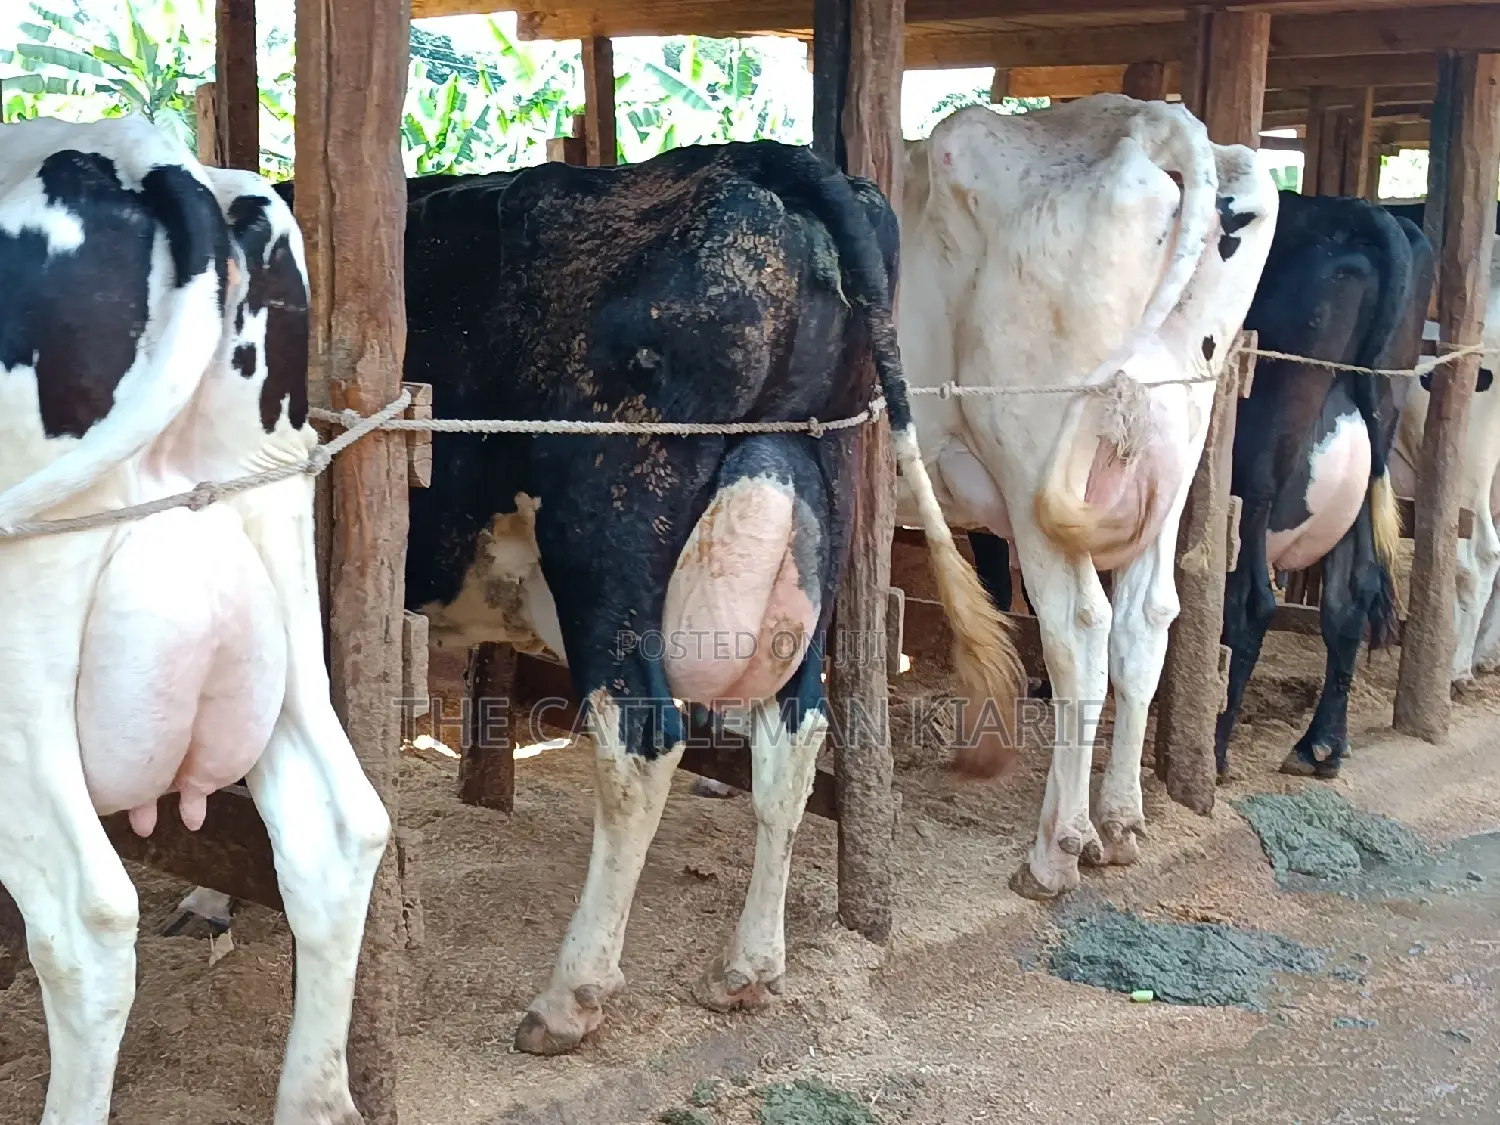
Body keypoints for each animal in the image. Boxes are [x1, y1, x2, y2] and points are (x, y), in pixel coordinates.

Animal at [271, 143, 1023, 1054]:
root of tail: (765, 163)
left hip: (609, 533)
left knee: (641, 739)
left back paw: (570, 995)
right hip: (820, 502)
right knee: (794, 730)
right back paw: (748, 967)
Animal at [895, 96, 1279, 899]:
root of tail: (1145, 121)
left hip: (1032, 458)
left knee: (1078, 629)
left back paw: (1057, 847)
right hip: (1171, 451)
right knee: (1146, 619)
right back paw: (1121, 822)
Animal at [1215, 192, 1434, 781]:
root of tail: (1363, 213)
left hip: (1254, 472)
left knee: (1249, 604)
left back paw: (1213, 751)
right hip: (1367, 450)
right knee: (1351, 597)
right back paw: (1322, 744)